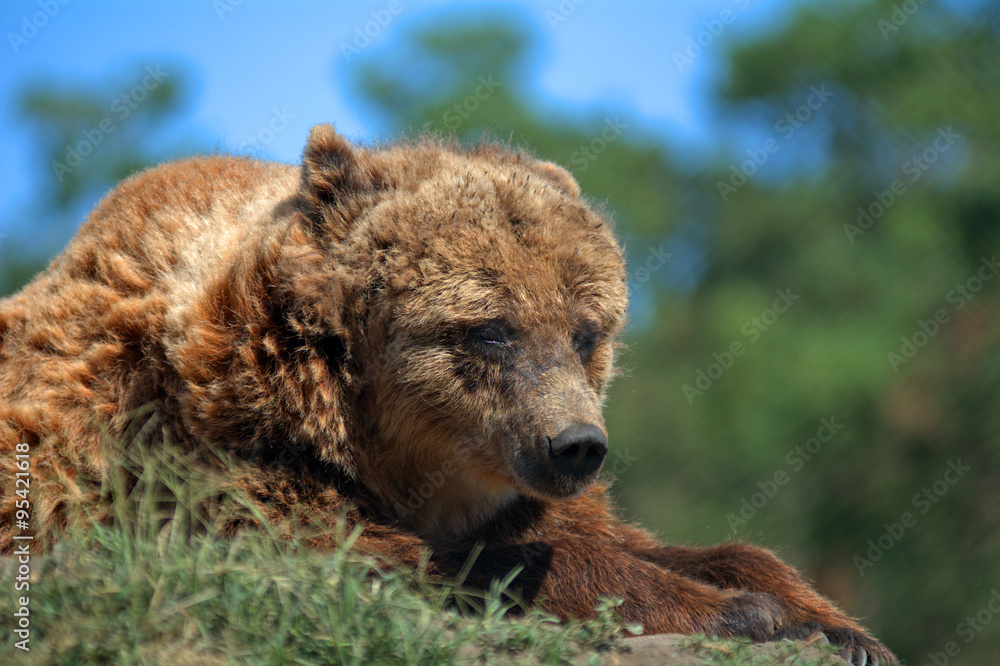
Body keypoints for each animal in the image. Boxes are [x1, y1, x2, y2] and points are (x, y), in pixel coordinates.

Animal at [0, 124, 892, 664]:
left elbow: (654, 539)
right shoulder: (211, 463)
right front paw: (745, 612)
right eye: (491, 328)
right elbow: (412, 559)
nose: (577, 445)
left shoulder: (516, 485)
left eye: (585, 330)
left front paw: (835, 624)